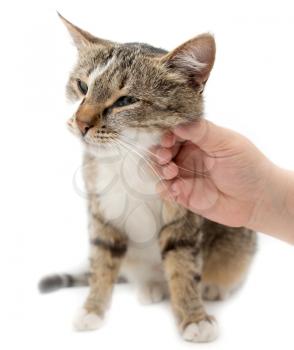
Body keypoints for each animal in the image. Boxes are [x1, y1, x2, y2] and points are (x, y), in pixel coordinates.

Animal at [39, 15, 258, 344]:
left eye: (125, 100)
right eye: (82, 86)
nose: (80, 122)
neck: (128, 160)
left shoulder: (184, 214)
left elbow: (182, 264)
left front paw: (194, 316)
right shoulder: (101, 211)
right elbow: (102, 259)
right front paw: (92, 308)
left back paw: (212, 287)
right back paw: (151, 287)